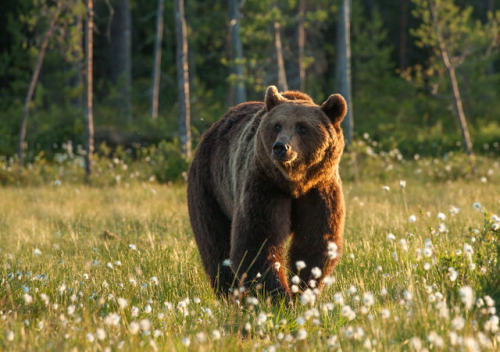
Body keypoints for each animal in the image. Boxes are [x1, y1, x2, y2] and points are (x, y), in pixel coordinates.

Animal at [186, 85, 346, 300]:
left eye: (302, 127)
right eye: (277, 125)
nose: (281, 147)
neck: (294, 182)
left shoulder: (319, 189)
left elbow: (315, 240)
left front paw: (302, 290)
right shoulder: (265, 185)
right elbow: (258, 239)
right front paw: (279, 296)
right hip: (209, 188)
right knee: (215, 243)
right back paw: (230, 294)